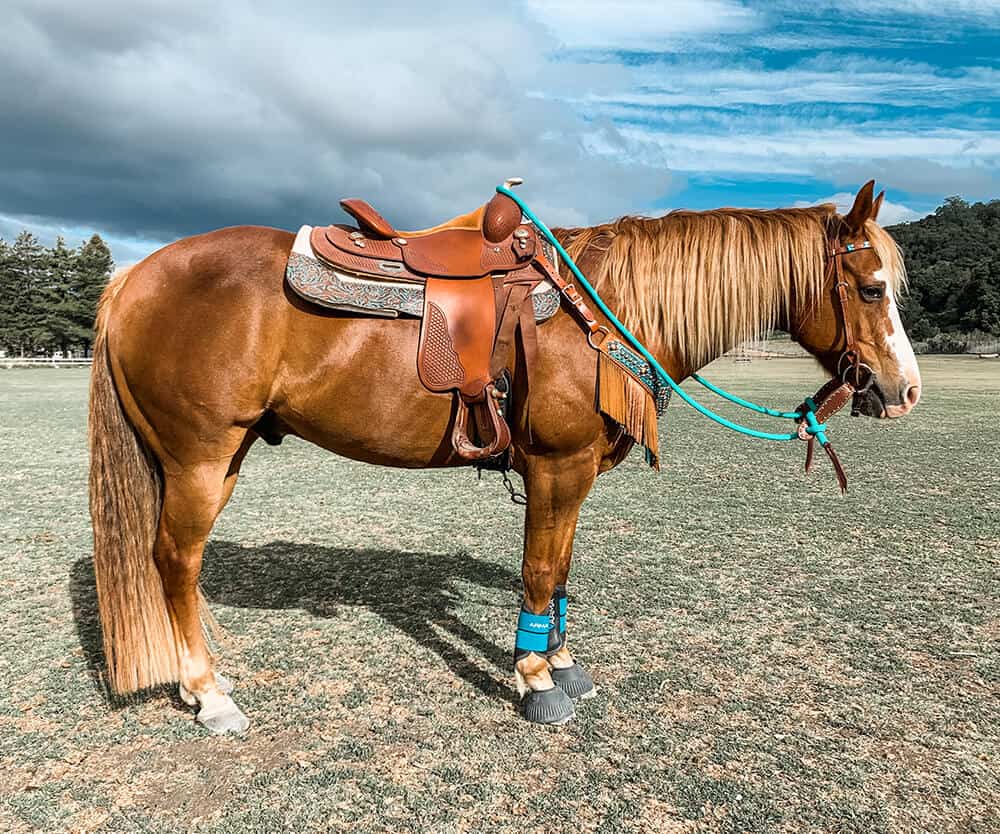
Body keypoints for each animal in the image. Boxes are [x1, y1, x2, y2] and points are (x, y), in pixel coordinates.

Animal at [88, 180, 921, 733]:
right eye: (871, 289)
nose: (905, 391)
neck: (607, 307)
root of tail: (132, 277)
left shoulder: (574, 474)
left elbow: (563, 568)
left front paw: (563, 662)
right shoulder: (556, 464)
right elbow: (542, 569)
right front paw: (535, 678)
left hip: (211, 457)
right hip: (200, 458)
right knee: (175, 561)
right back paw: (210, 694)